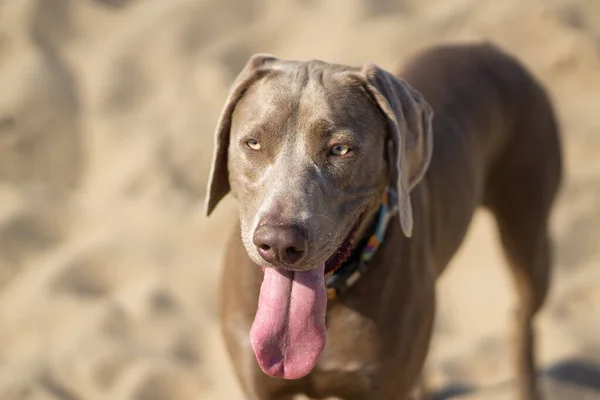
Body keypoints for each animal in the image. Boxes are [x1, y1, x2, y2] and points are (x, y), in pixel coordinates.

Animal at [205, 42, 564, 398]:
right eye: (253, 143)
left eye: (340, 149)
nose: (279, 243)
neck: (331, 296)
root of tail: (487, 48)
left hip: (528, 233)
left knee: (522, 317)